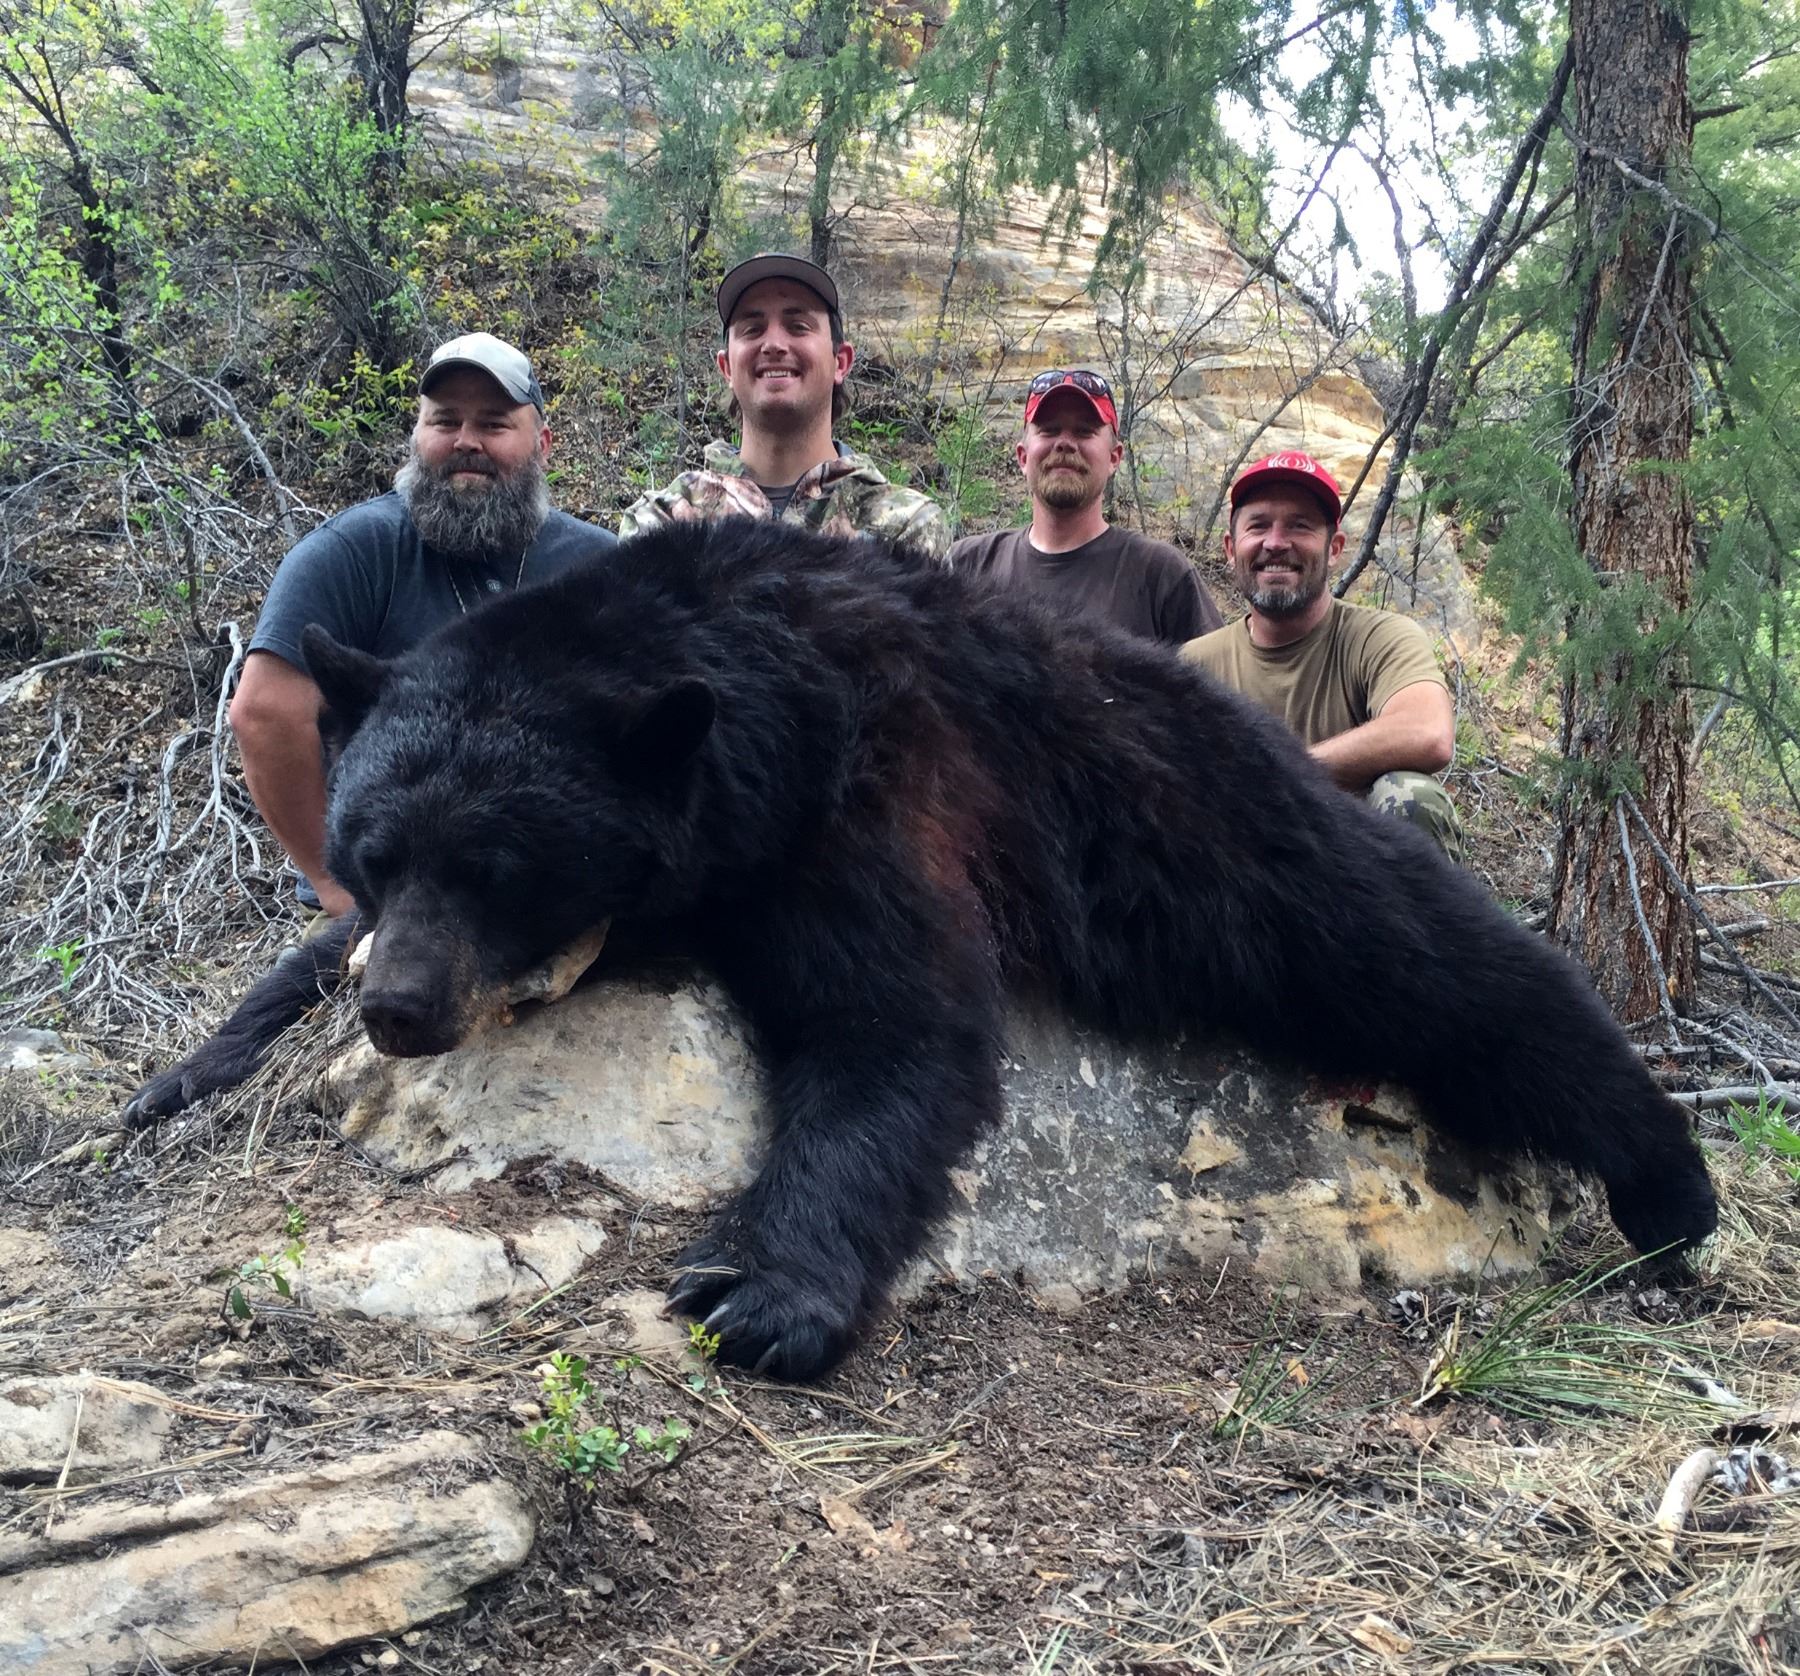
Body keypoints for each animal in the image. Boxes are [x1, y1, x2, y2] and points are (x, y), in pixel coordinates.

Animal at [127, 517, 1718, 1379]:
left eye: (501, 868)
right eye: (377, 847)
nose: (402, 1008)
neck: (743, 678)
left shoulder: (869, 785)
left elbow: (892, 1029)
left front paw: (760, 1292)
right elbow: (292, 963)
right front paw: (176, 1073)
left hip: (1224, 838)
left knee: (1437, 964)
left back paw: (1669, 1183)